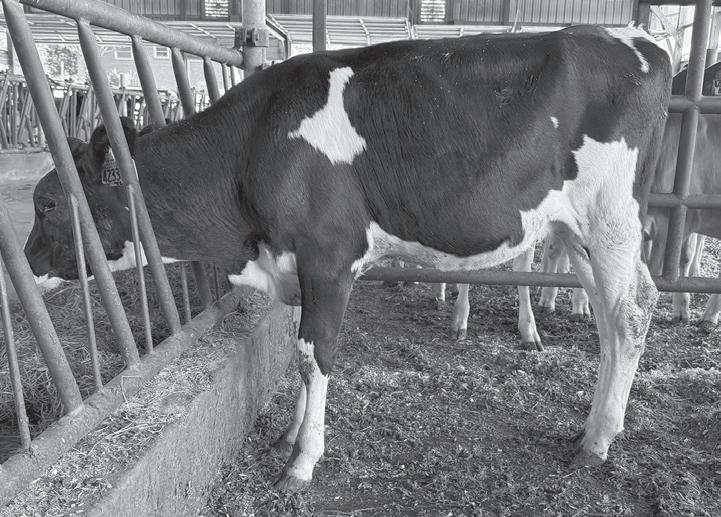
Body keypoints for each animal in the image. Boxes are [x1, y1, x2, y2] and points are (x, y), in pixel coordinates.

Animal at [25, 26, 671, 490]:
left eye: (49, 201)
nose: (26, 262)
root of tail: (640, 42)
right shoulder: (293, 267)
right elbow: (298, 353)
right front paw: (288, 436)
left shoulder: (328, 258)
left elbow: (316, 355)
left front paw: (302, 462)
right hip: (579, 232)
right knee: (611, 321)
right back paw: (590, 427)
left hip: (611, 218)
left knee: (632, 314)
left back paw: (597, 443)